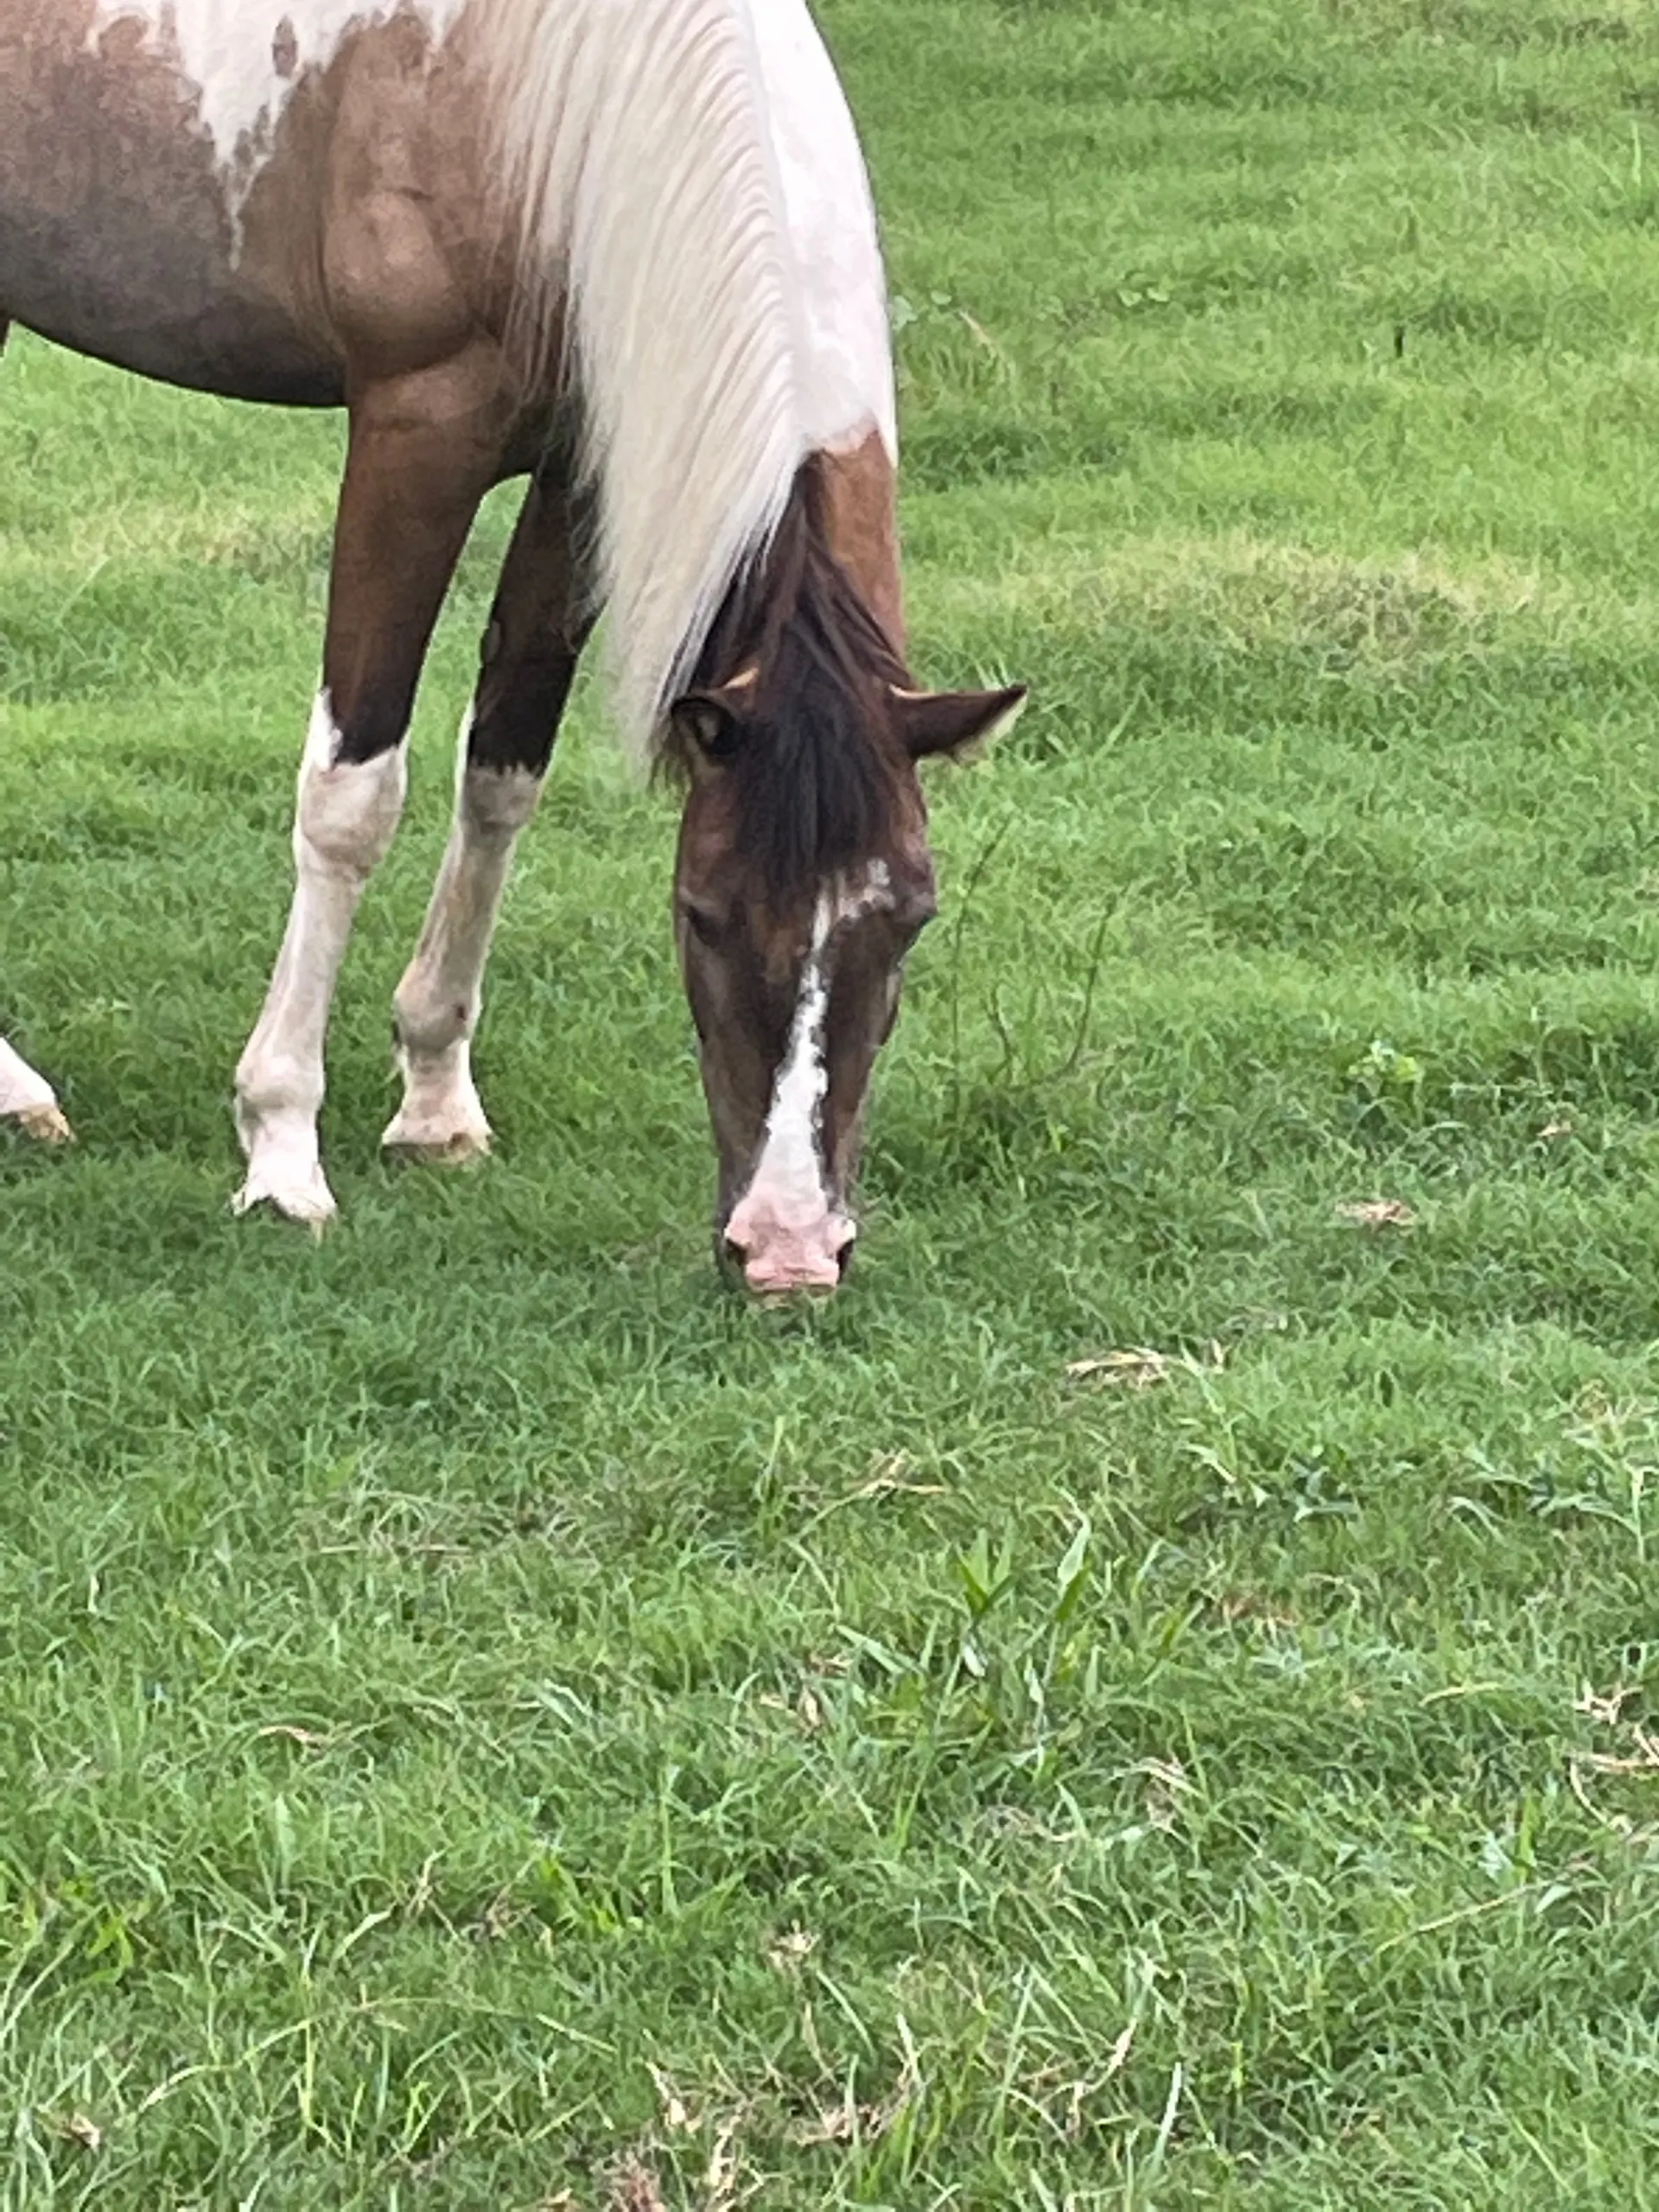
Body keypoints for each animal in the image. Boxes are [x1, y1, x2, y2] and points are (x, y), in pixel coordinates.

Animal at [0, 0, 1024, 1292]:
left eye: (911, 916)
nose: (790, 1253)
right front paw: (281, 1148)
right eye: (702, 910)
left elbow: (502, 772)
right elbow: (355, 795)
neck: (557, 90)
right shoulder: (416, 431)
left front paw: (435, 1099)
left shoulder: (584, 460)